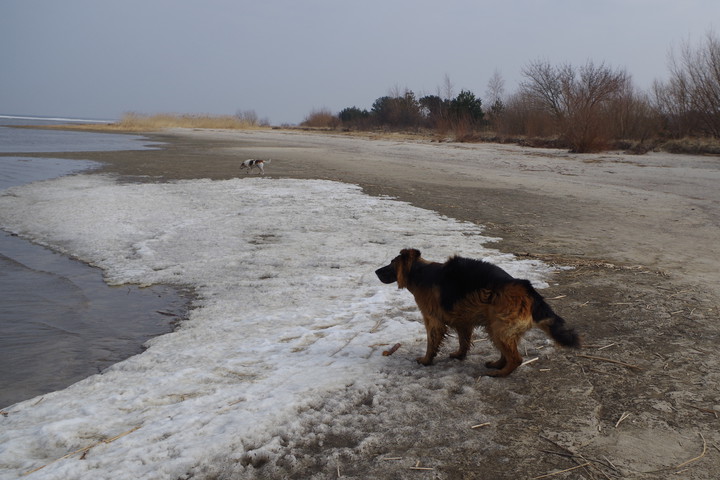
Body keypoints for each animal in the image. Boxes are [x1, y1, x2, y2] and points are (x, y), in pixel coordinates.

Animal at [374, 249, 584, 376]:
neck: (420, 273)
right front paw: (459, 355)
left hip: (499, 328)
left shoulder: (433, 321)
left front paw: (426, 360)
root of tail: (529, 292)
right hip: (497, 328)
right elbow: (464, 342)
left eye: (391, 263)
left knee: (516, 358)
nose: (375, 271)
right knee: (507, 354)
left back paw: (500, 373)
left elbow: (431, 344)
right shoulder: (463, 321)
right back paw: (497, 365)